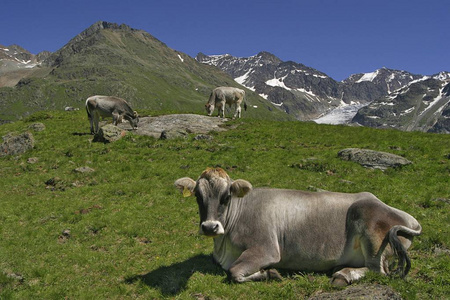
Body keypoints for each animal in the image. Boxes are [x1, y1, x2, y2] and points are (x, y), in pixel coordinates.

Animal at [175, 168, 422, 284]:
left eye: (226, 197)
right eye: (198, 196)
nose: (210, 227)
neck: (223, 246)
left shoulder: (266, 249)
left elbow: (234, 272)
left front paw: (269, 273)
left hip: (371, 230)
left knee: (378, 270)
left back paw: (343, 276)